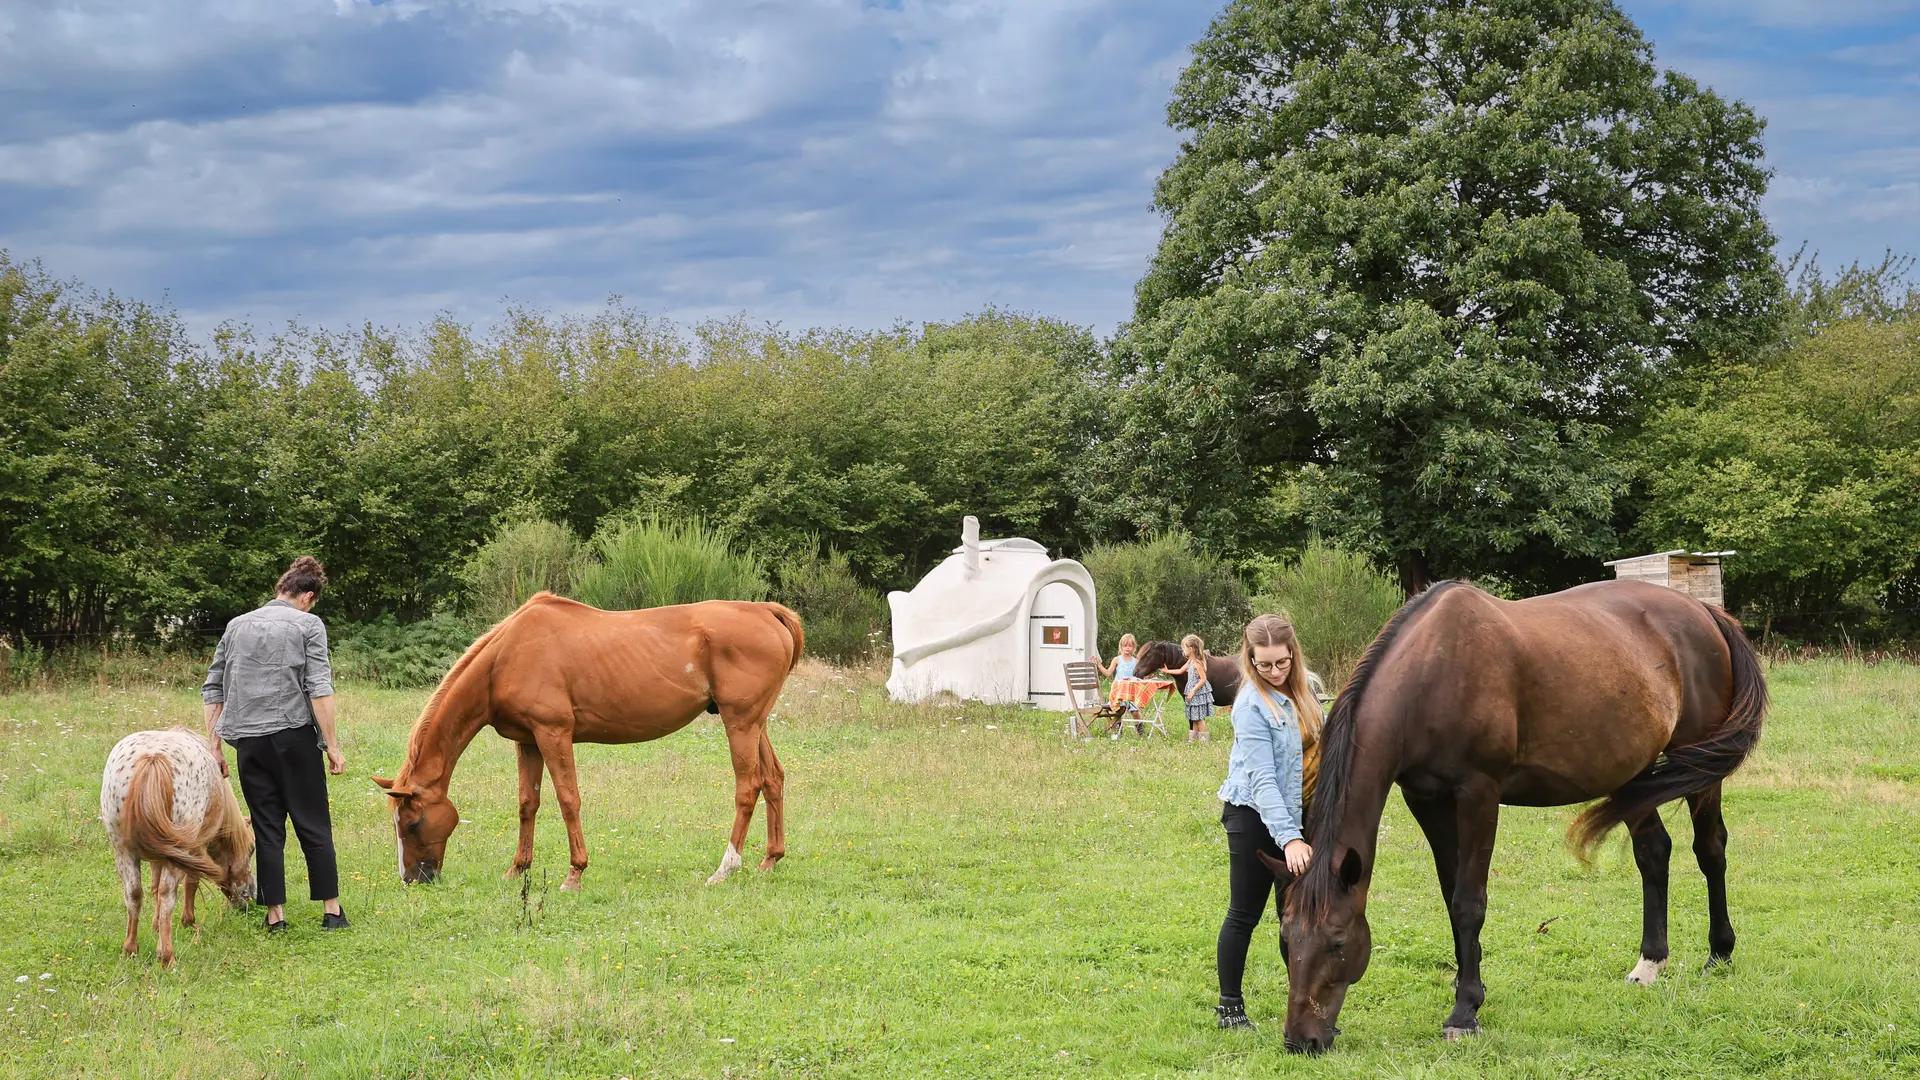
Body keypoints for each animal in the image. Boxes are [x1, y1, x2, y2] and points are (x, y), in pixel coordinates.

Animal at [100, 726, 255, 960]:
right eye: (252, 849)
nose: (251, 897)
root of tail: (153, 758)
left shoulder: (158, 855)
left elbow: (153, 886)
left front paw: (155, 925)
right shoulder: (196, 848)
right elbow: (191, 882)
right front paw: (188, 922)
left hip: (124, 851)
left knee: (134, 893)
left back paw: (130, 949)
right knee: (167, 896)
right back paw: (166, 956)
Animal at [374, 591, 802, 887]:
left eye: (412, 823)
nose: (411, 879)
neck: (505, 657)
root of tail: (766, 611)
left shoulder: (554, 734)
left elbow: (568, 801)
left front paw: (574, 874)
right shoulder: (528, 742)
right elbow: (528, 804)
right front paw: (517, 869)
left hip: (740, 723)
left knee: (747, 787)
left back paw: (724, 869)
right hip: (754, 724)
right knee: (773, 779)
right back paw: (769, 860)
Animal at [1274, 580, 1766, 1053]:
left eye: (1338, 941)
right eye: (1285, 940)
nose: (1301, 1040)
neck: (1433, 674)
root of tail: (1705, 612)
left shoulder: (1478, 793)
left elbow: (1468, 903)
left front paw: (1463, 1014)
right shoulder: (1425, 800)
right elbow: (1450, 896)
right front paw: (1468, 987)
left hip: (1700, 766)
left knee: (1710, 849)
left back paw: (1719, 953)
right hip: (1634, 773)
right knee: (1653, 852)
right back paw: (1649, 964)